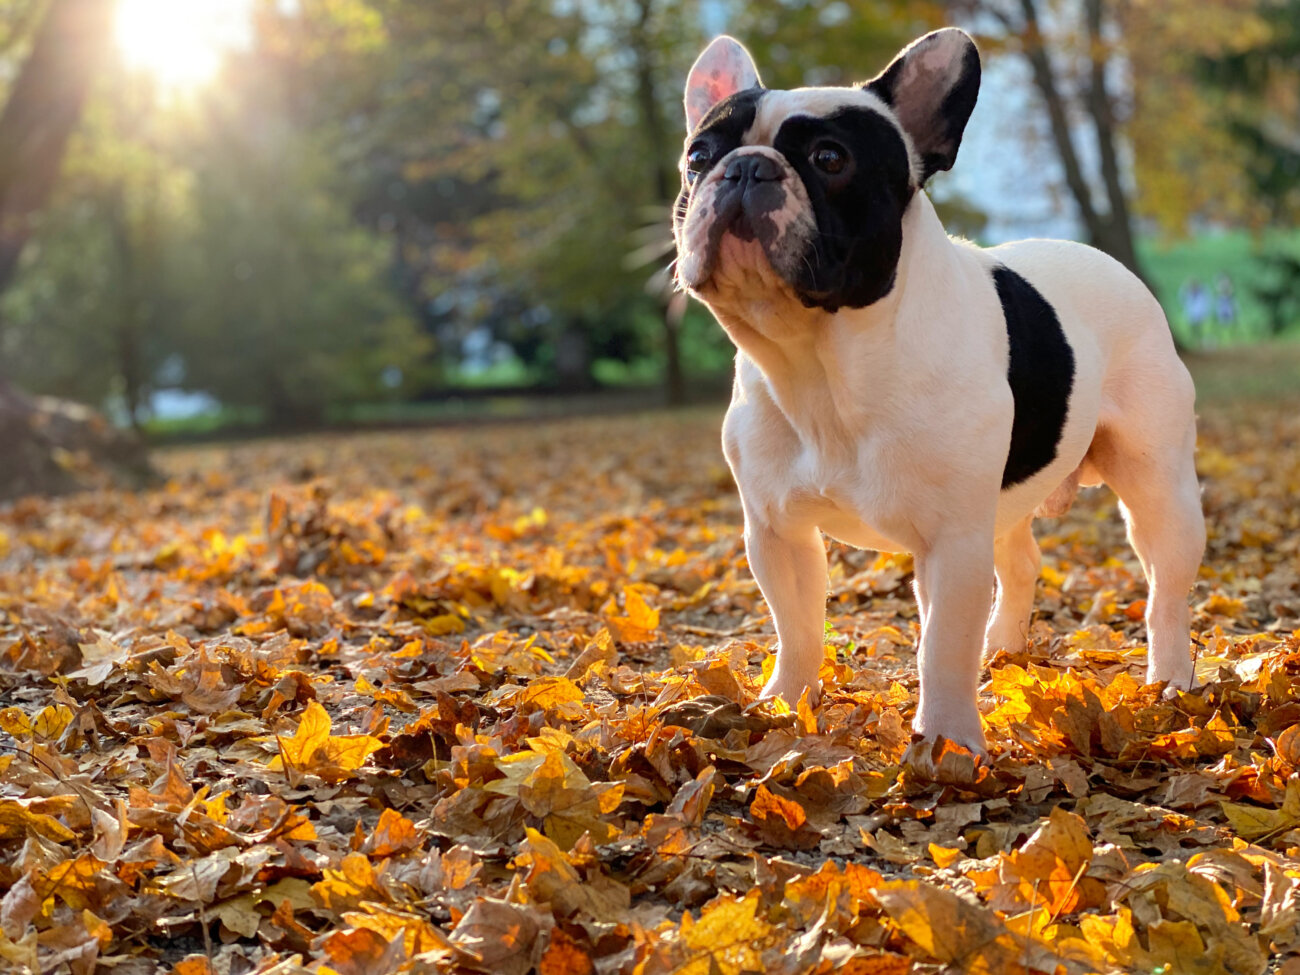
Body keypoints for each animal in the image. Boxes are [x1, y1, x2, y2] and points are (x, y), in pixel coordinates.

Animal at [676, 24, 1201, 754]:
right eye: (698, 155)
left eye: (829, 158)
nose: (746, 168)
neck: (822, 364)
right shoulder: (777, 532)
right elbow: (797, 625)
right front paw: (784, 704)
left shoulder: (951, 539)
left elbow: (942, 645)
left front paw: (947, 743)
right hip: (1002, 500)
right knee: (1021, 561)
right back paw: (1003, 647)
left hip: (1157, 486)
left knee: (1165, 590)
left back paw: (1170, 680)